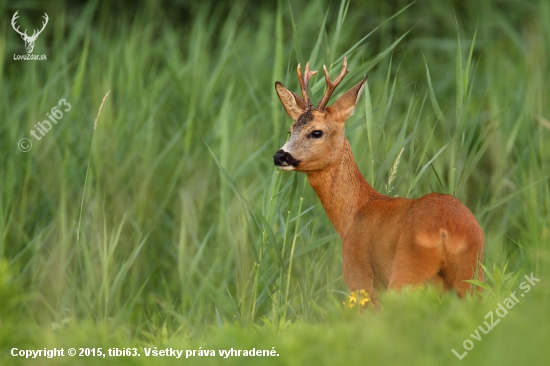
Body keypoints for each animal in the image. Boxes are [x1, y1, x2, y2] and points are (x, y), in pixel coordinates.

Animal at [274, 58, 486, 304]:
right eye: (290, 130)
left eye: (316, 132)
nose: (279, 156)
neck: (354, 213)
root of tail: (445, 230)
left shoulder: (359, 278)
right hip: (472, 275)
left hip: (406, 273)